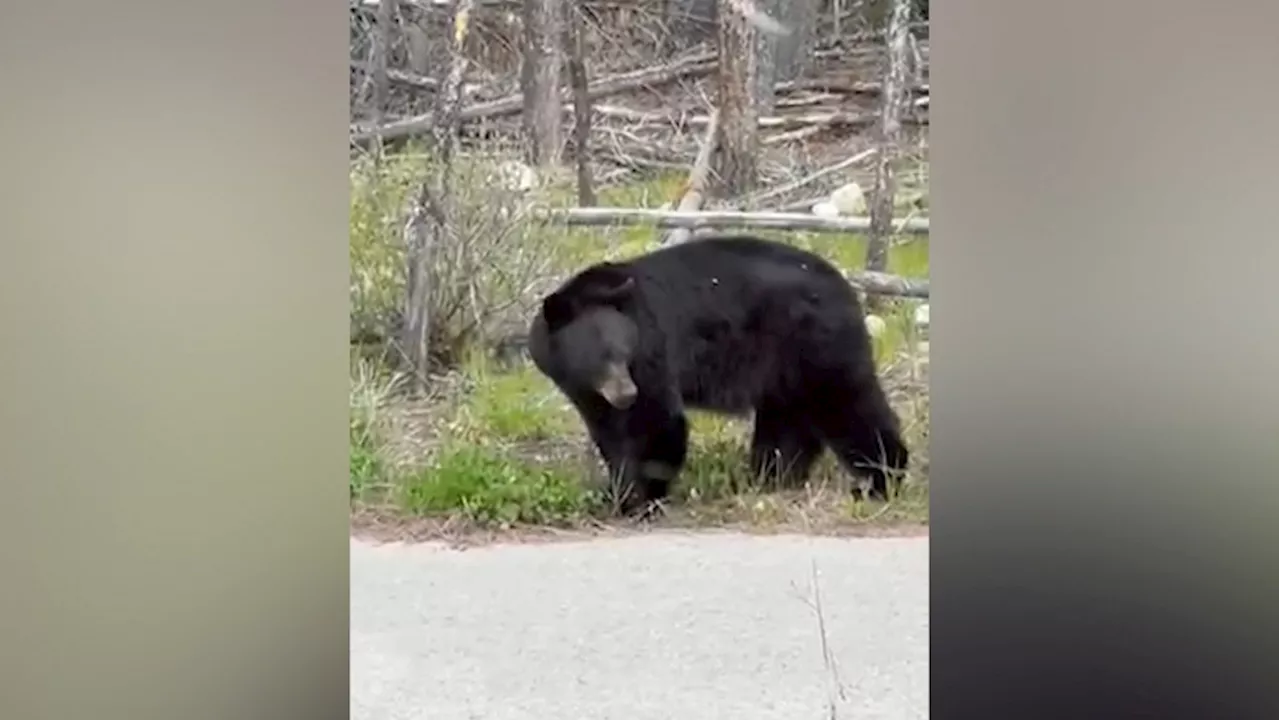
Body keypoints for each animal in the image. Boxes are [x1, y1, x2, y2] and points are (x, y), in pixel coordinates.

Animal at [524, 233, 906, 512]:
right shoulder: (584, 389)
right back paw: (772, 477)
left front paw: (639, 495)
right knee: (788, 422)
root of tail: (846, 286)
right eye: (600, 358)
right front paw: (615, 487)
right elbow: (607, 430)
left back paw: (881, 480)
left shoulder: (653, 349)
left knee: (848, 405)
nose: (625, 393)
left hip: (816, 344)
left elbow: (656, 419)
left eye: (623, 352)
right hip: (785, 367)